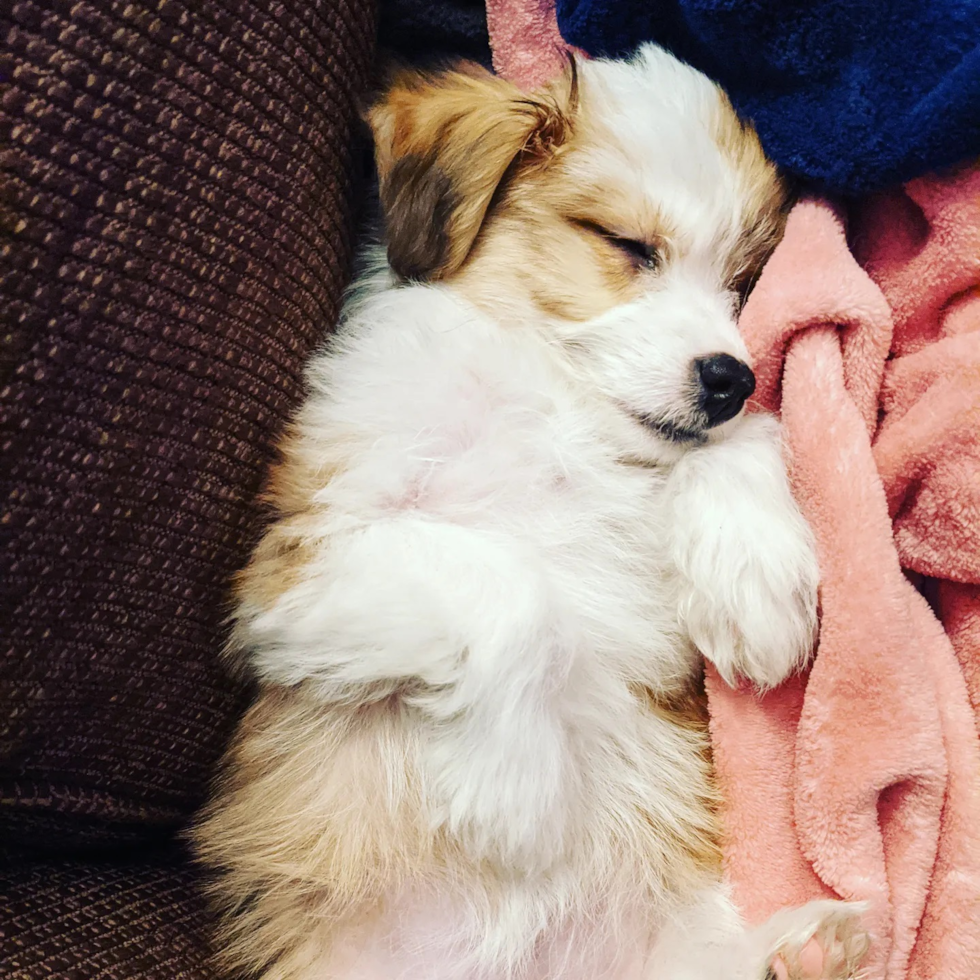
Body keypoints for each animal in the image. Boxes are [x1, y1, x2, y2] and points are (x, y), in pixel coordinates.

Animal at [195, 44, 868, 980]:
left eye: (741, 286)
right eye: (628, 246)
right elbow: (512, 590)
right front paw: (517, 794)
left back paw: (817, 950)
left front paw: (756, 583)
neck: (556, 410)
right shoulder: (299, 568)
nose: (730, 378)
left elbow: (746, 439)